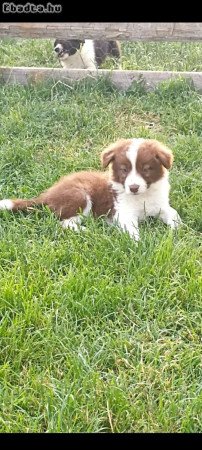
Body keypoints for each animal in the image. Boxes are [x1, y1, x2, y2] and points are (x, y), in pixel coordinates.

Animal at [0, 139, 181, 241]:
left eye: (146, 169)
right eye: (124, 170)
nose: (133, 187)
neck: (143, 195)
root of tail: (46, 196)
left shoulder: (160, 205)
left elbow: (174, 214)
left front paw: (177, 230)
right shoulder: (123, 213)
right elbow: (131, 229)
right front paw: (138, 243)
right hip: (80, 196)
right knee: (65, 223)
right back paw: (87, 231)